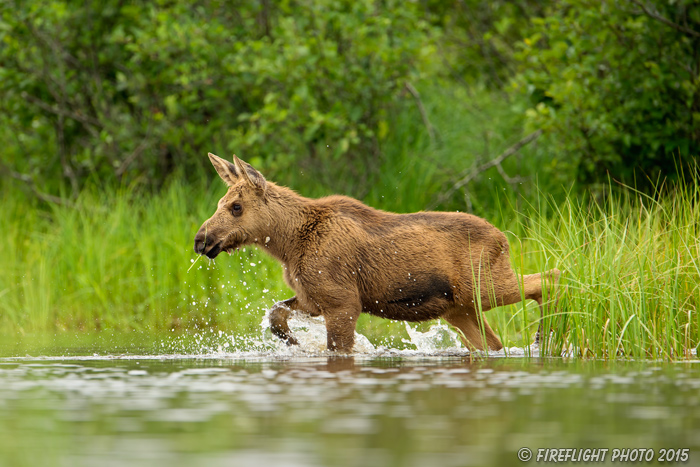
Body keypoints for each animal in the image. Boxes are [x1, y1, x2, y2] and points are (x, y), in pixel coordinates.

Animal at [194, 155, 560, 352]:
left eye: (236, 207)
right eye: (220, 202)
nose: (201, 240)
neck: (287, 245)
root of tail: (503, 239)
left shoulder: (342, 301)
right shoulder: (313, 298)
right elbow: (275, 314)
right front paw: (293, 342)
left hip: (484, 286)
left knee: (550, 278)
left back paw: (546, 335)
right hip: (459, 309)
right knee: (493, 344)